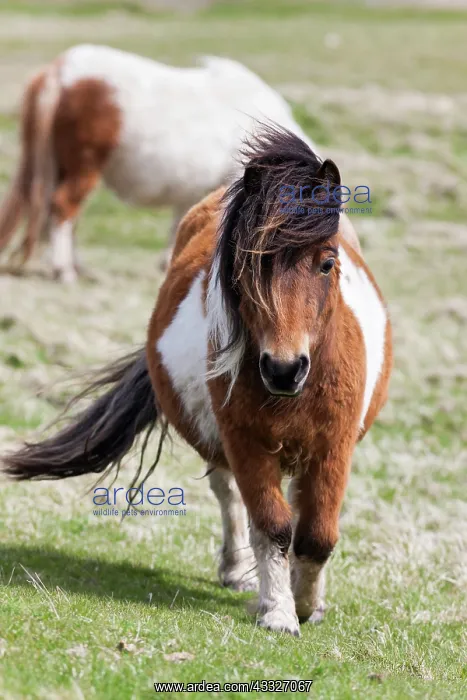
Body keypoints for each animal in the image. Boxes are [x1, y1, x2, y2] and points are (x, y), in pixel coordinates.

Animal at [1, 126, 391, 636]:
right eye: (249, 266)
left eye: (327, 263)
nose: (283, 369)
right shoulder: (245, 443)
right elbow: (272, 526)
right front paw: (280, 611)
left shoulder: (333, 448)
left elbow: (317, 535)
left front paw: (308, 604)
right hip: (219, 444)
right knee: (231, 498)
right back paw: (237, 571)